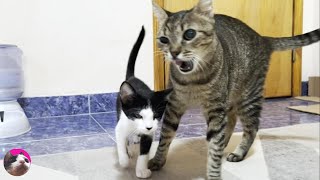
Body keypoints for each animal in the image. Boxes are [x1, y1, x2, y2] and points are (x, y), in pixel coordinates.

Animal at [114, 25, 170, 179]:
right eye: (139, 115)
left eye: (156, 116)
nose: (149, 127)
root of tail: (132, 77)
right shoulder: (121, 126)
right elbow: (121, 142)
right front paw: (124, 160)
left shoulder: (149, 134)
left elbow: (144, 152)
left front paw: (141, 170)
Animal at [150, 0, 320, 179]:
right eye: (163, 39)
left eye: (189, 34)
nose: (173, 53)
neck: (193, 80)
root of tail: (262, 38)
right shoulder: (174, 105)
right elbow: (165, 136)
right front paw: (157, 161)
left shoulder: (215, 108)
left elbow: (214, 145)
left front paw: (213, 174)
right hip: (229, 99)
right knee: (231, 121)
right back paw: (224, 143)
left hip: (248, 98)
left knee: (252, 127)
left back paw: (238, 152)